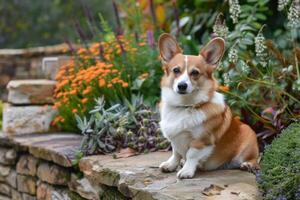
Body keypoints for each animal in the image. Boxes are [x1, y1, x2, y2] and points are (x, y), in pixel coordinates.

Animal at [158, 33, 258, 179]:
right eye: (176, 70)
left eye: (195, 73)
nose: (182, 86)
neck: (185, 106)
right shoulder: (175, 137)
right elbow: (176, 153)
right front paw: (170, 165)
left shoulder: (202, 141)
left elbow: (191, 155)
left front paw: (186, 171)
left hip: (248, 138)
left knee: (256, 159)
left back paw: (248, 165)